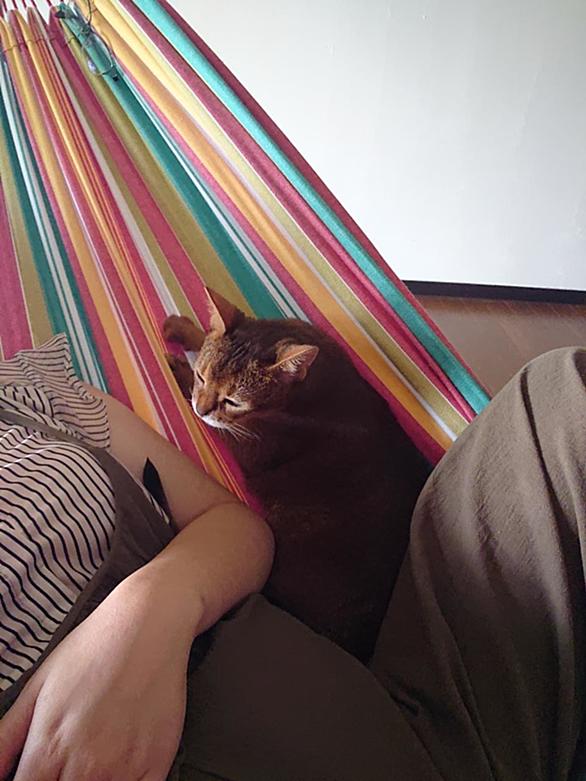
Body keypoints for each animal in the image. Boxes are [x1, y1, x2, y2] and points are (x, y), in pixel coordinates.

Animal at [163, 290, 431, 661]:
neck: (306, 385)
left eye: (233, 401)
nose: (201, 408)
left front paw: (178, 367)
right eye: (204, 378)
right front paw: (184, 329)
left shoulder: (250, 441)